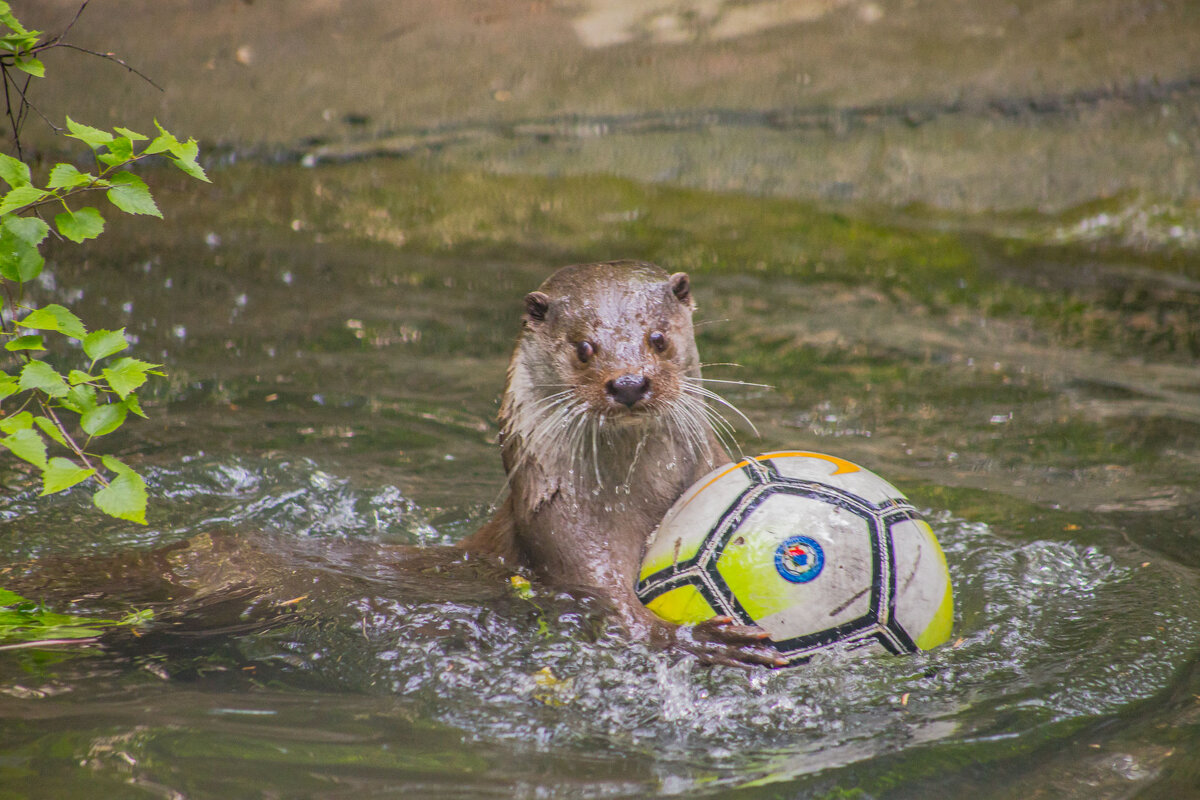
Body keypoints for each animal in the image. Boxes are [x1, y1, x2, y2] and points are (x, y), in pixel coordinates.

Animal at [460, 262, 787, 671]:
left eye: (658, 338)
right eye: (583, 349)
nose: (629, 383)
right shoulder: (566, 538)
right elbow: (620, 611)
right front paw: (700, 638)